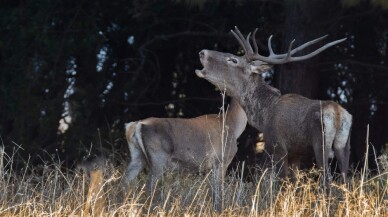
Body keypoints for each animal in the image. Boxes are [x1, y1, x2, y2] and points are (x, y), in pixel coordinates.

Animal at [196, 26, 354, 186]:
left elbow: (282, 181)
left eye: (233, 59)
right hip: (344, 146)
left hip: (321, 143)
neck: (264, 116)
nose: (202, 52)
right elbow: (294, 182)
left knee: (327, 180)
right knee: (345, 180)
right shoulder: (296, 153)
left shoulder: (278, 146)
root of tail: (337, 114)